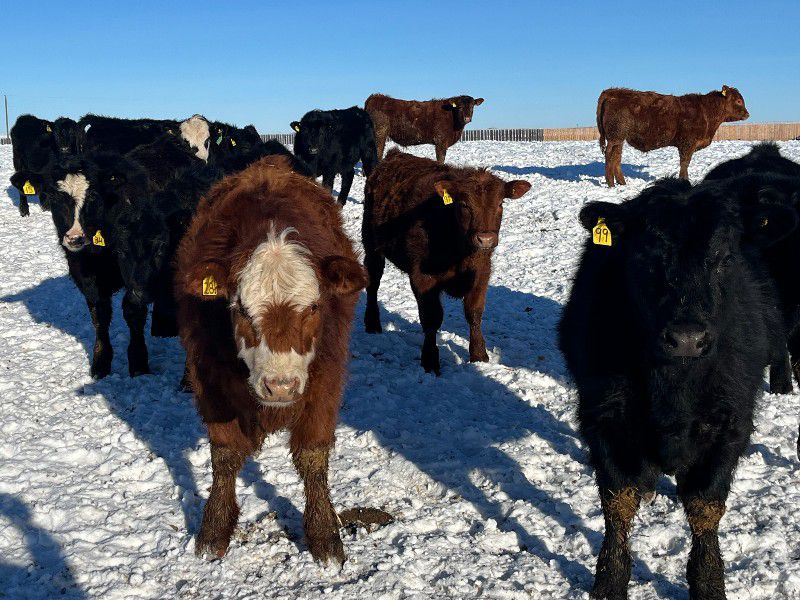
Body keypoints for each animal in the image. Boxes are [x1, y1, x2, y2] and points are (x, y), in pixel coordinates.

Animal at [174, 155, 368, 563]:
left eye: (313, 307)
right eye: (241, 310)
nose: (279, 386)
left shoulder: (326, 377)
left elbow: (313, 456)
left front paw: (324, 536)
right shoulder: (210, 377)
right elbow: (225, 455)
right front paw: (214, 530)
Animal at [362, 149, 530, 374]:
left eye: (500, 204)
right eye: (464, 204)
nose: (485, 239)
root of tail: (395, 154)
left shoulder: (482, 272)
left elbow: (474, 312)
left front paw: (479, 355)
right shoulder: (423, 277)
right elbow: (431, 319)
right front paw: (430, 361)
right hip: (371, 245)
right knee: (373, 281)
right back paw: (372, 324)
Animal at [558, 177, 796, 599]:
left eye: (724, 256)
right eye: (643, 256)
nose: (687, 338)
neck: (673, 390)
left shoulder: (730, 423)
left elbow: (704, 506)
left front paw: (708, 583)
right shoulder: (603, 415)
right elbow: (617, 503)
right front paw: (609, 582)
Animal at [596, 86, 749, 186]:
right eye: (738, 101)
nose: (747, 114)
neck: (706, 113)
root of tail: (613, 91)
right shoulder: (687, 143)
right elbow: (685, 163)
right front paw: (684, 181)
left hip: (619, 138)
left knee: (616, 158)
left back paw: (622, 183)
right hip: (614, 137)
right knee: (609, 156)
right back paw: (610, 183)